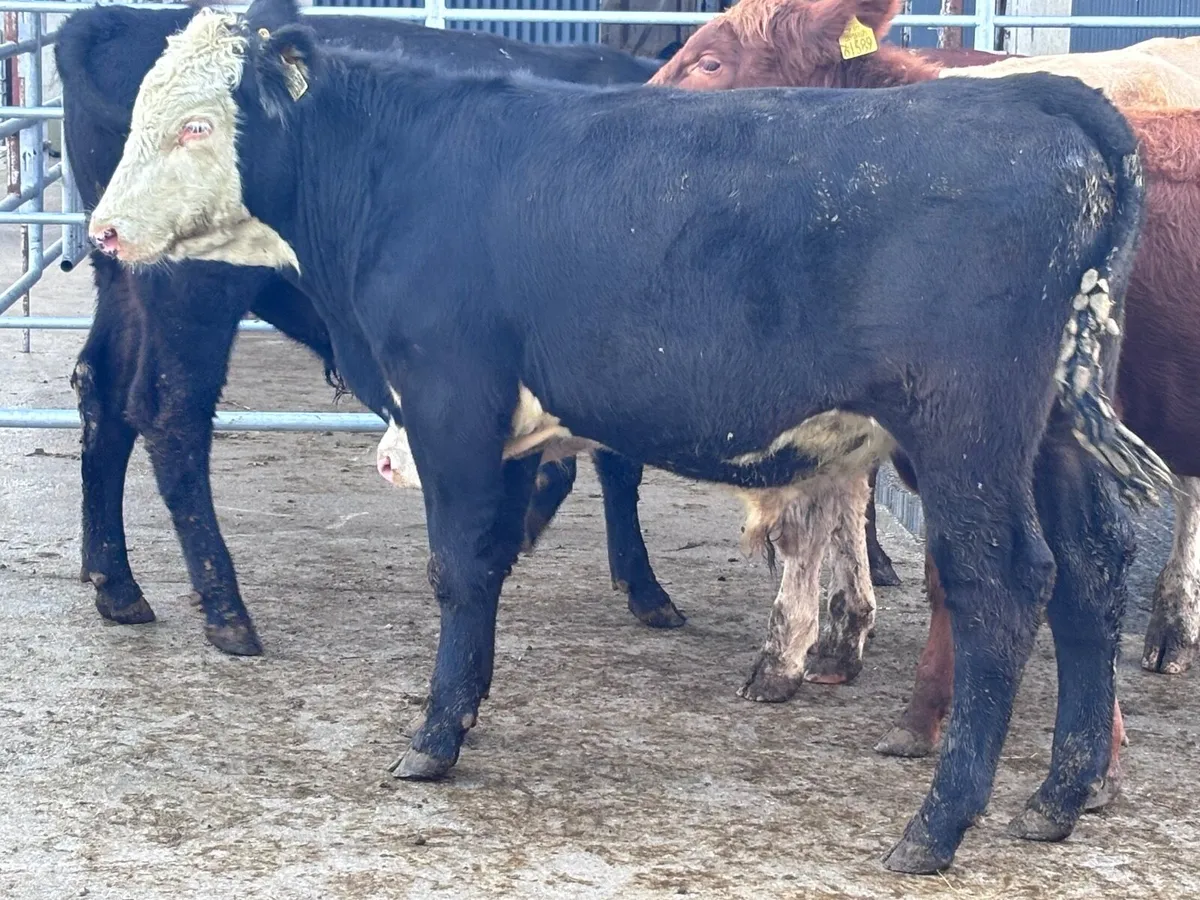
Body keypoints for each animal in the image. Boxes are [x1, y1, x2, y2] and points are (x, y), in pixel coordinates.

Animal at [55, 0, 682, 658]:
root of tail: (114, 22)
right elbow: (617, 461)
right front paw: (639, 582)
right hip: (195, 290)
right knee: (169, 413)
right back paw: (225, 607)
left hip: (122, 282)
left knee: (102, 390)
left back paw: (114, 580)